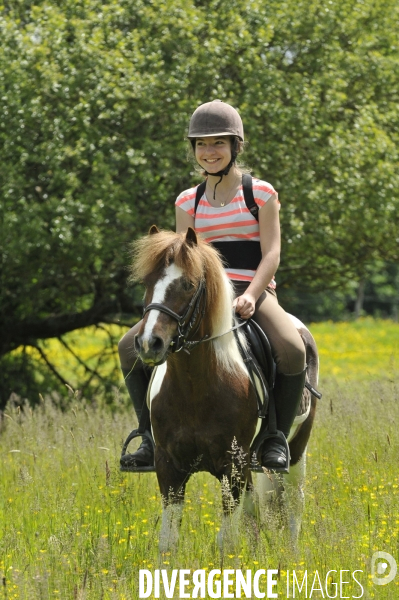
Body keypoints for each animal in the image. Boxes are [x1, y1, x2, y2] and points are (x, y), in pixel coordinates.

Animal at [130, 226, 320, 552]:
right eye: (147, 282)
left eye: (188, 284)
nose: (148, 343)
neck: (194, 388)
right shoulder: (169, 468)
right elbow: (168, 542)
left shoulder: (232, 467)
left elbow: (226, 542)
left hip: (295, 450)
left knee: (294, 504)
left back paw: (292, 555)